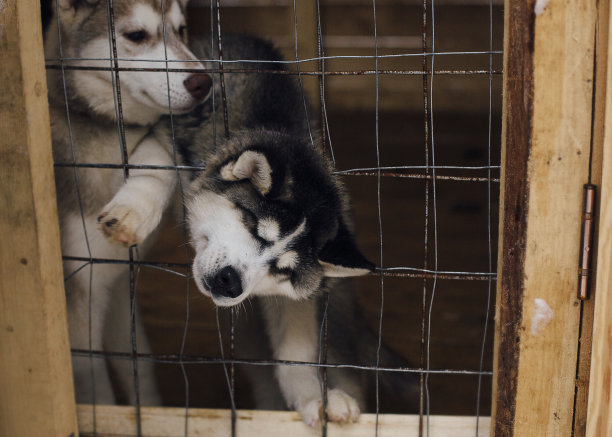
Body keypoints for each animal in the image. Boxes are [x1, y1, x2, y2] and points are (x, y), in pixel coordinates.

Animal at [44, 0, 212, 402]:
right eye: (136, 35)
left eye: (181, 30)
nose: (203, 82)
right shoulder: (81, 293)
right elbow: (94, 383)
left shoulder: (118, 282)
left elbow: (136, 364)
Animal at [155, 36, 402, 426]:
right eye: (253, 224)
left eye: (282, 271)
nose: (230, 281)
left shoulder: (293, 298)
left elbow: (295, 351)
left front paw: (313, 396)